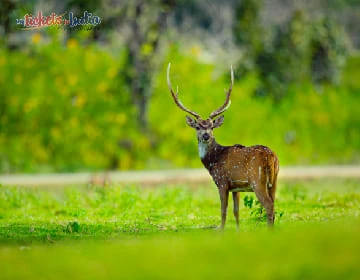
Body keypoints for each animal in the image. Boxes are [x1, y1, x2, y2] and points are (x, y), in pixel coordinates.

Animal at [167, 64, 280, 230]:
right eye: (198, 127)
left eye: (212, 127)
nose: (206, 135)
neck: (213, 161)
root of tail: (271, 157)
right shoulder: (235, 188)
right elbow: (236, 211)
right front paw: (238, 231)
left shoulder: (222, 181)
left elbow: (223, 210)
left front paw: (220, 230)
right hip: (275, 179)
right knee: (273, 204)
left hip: (257, 180)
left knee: (269, 206)